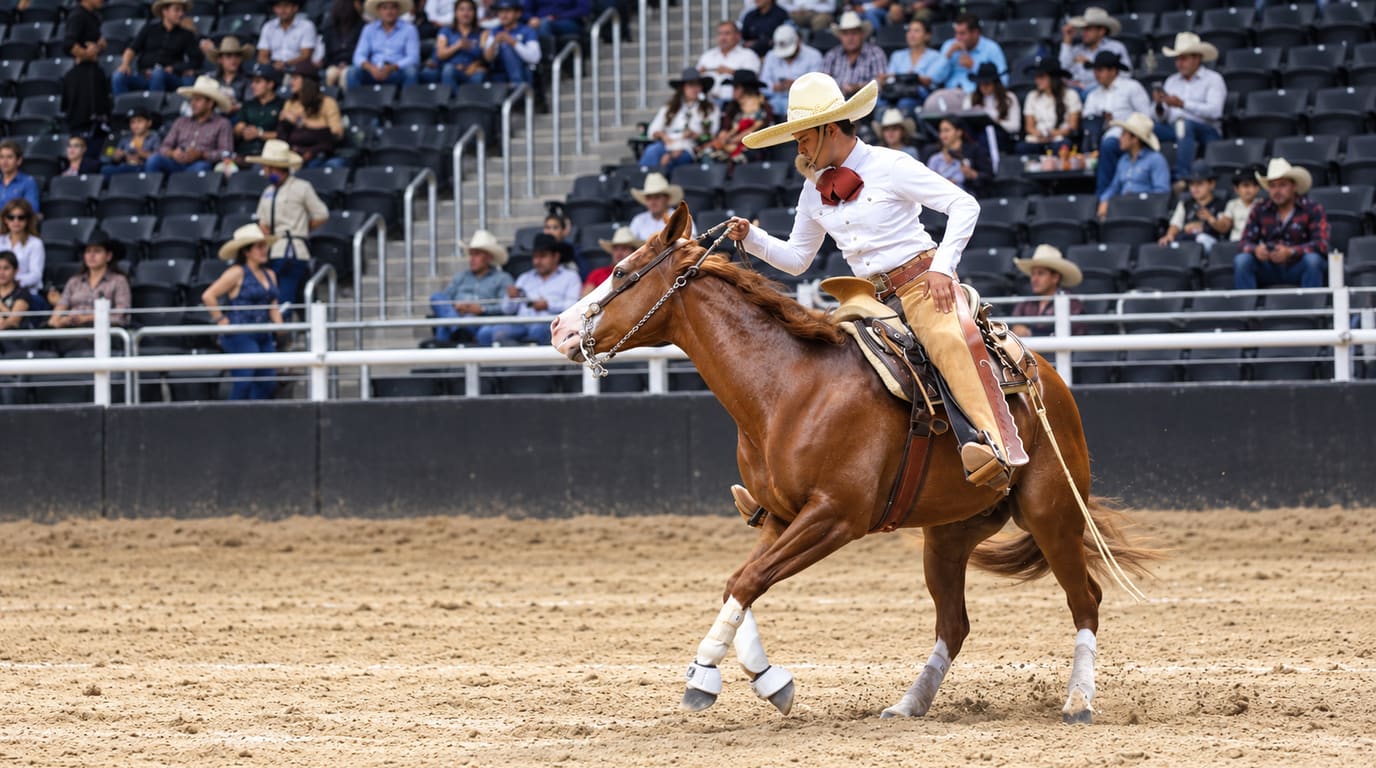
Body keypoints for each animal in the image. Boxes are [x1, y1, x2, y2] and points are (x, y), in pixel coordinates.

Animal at [550, 204, 1155, 724]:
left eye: (622, 272)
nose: (558, 329)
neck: (788, 386)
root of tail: (1042, 375)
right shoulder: (778, 517)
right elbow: (738, 583)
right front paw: (770, 680)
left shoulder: (835, 517)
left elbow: (747, 580)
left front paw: (704, 675)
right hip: (949, 533)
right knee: (954, 623)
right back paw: (909, 703)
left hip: (1051, 512)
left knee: (1086, 599)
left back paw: (1078, 701)